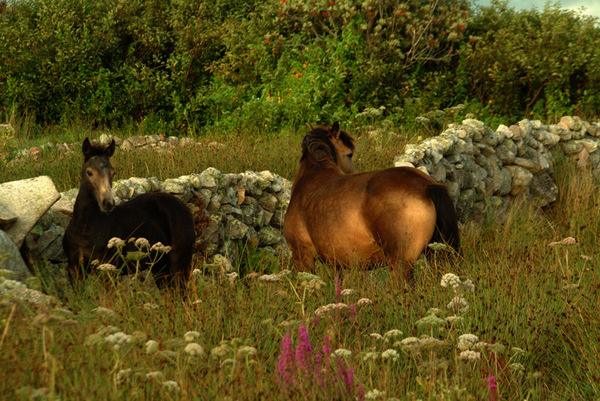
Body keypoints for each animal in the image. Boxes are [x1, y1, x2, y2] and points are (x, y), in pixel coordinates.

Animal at [63, 138, 196, 288]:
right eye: (89, 172)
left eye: (113, 172)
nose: (108, 203)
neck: (85, 229)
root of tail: (184, 206)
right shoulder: (74, 270)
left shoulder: (108, 271)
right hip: (159, 266)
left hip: (179, 263)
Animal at [284, 122, 460, 282]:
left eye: (349, 154)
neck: (312, 176)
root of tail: (425, 185)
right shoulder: (336, 264)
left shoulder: (303, 257)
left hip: (401, 264)